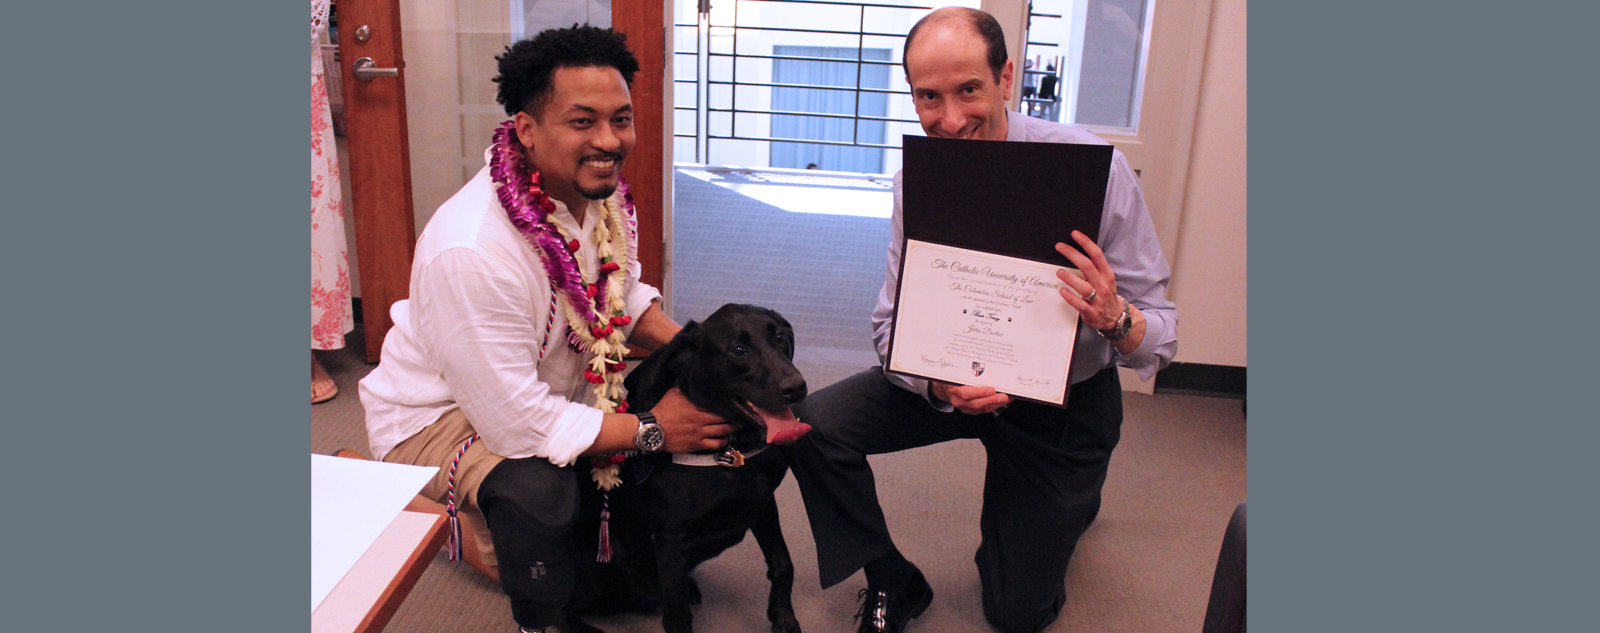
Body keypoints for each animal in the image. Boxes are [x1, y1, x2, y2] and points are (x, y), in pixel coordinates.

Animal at [611, 303, 812, 629]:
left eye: (780, 336)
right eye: (739, 350)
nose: (797, 387)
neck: (730, 451)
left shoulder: (763, 504)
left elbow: (783, 563)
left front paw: (783, 617)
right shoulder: (670, 541)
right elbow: (677, 613)